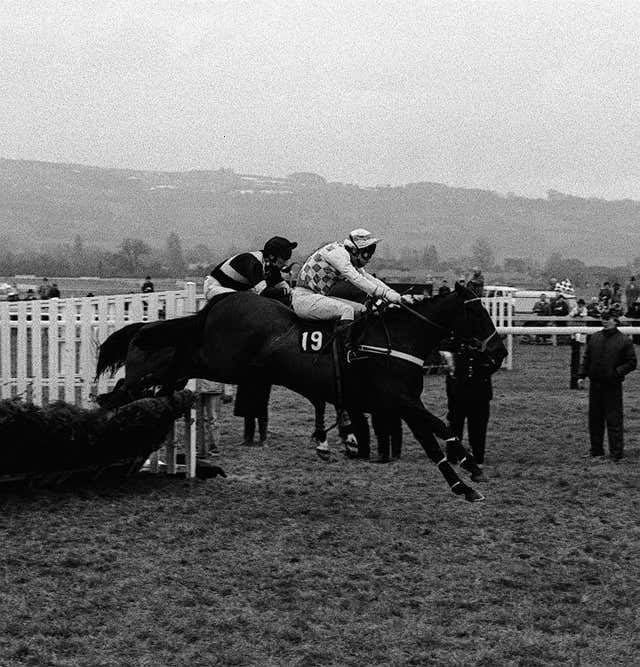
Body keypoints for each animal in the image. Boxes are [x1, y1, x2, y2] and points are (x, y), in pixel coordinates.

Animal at [96, 284, 504, 504]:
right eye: (477, 313)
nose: (498, 352)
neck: (398, 339)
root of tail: (224, 300)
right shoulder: (400, 401)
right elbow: (439, 431)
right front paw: (469, 470)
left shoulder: (402, 404)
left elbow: (435, 438)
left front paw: (465, 479)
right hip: (220, 360)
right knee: (167, 361)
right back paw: (117, 397)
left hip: (220, 362)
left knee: (174, 366)